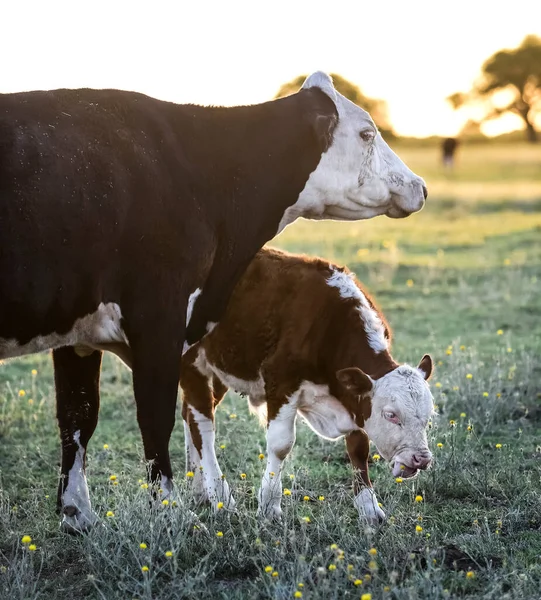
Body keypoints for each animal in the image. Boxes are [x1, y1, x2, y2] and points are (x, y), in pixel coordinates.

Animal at [181, 246, 434, 524]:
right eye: (391, 415)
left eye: (428, 416)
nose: (421, 459)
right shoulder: (281, 381)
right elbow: (281, 444)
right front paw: (269, 506)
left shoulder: (353, 398)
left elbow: (359, 447)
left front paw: (369, 507)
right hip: (192, 363)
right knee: (202, 426)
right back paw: (220, 496)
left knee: (189, 417)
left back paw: (200, 489)